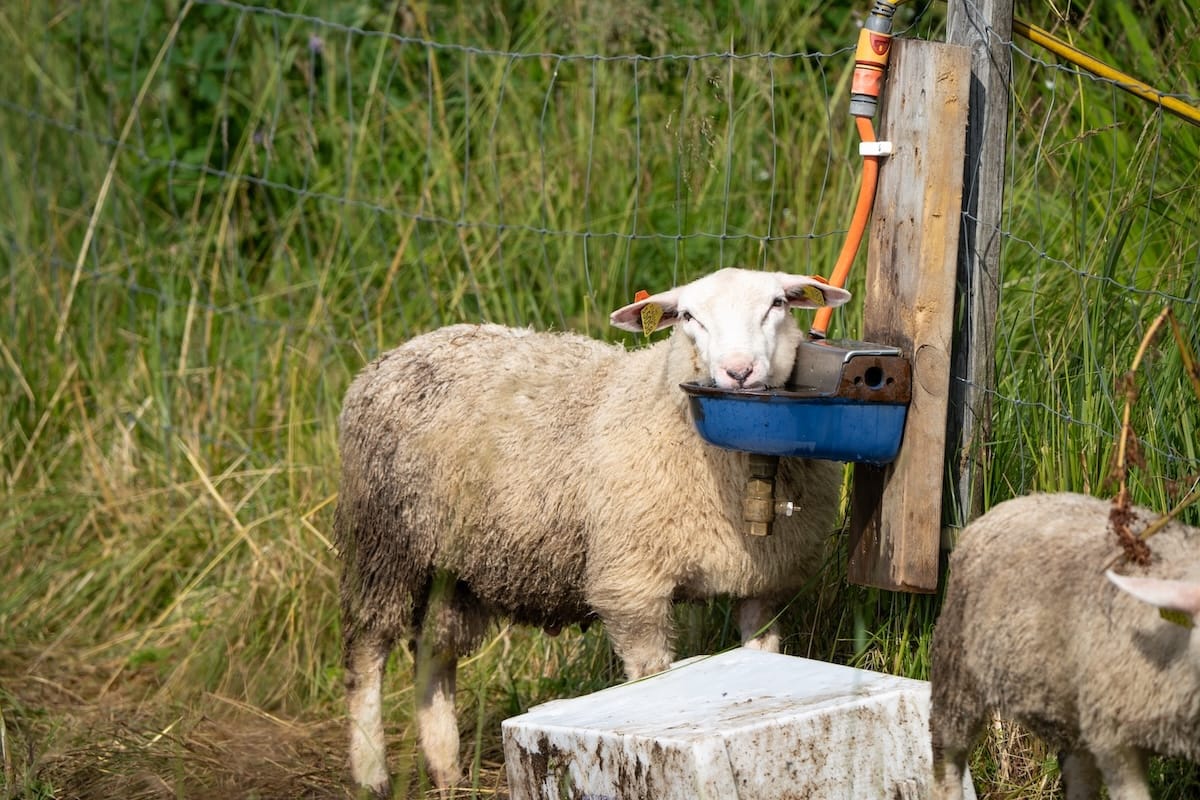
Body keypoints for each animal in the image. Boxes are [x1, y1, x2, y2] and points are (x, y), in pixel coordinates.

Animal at [332, 267, 852, 795]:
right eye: (689, 316)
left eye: (776, 305)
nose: (739, 372)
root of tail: (398, 352)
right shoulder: (631, 586)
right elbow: (651, 674)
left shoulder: (765, 582)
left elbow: (762, 653)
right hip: (383, 542)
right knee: (366, 655)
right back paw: (371, 772)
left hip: (453, 567)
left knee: (434, 653)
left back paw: (447, 769)